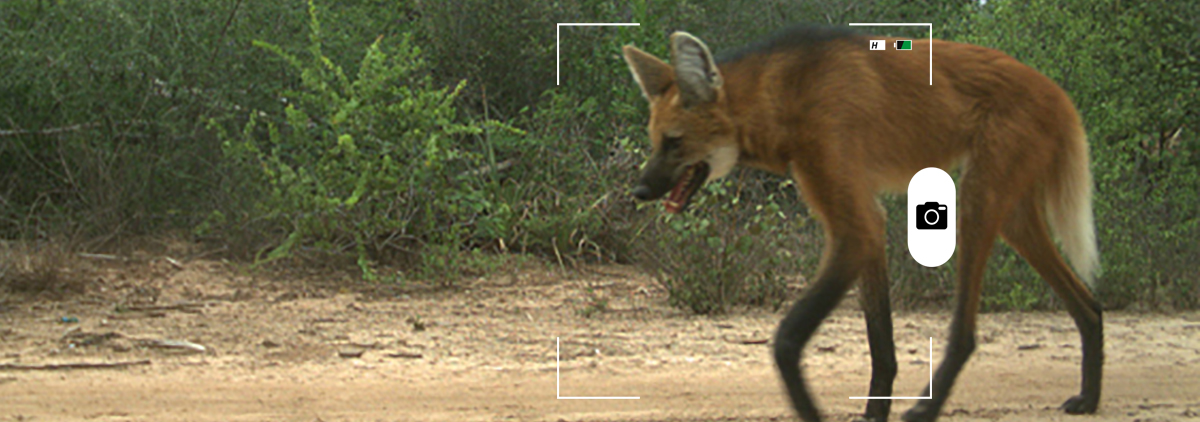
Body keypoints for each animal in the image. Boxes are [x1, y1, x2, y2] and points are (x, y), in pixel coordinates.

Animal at [622, 25, 1102, 422]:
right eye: (655, 142)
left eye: (674, 143)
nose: (640, 191)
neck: (782, 100)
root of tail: (1056, 90)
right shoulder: (864, 221)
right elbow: (880, 342)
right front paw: (873, 415)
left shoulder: (856, 225)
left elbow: (787, 340)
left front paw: (814, 412)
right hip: (1013, 216)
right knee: (1088, 304)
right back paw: (1089, 397)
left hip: (976, 200)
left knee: (966, 333)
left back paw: (926, 410)